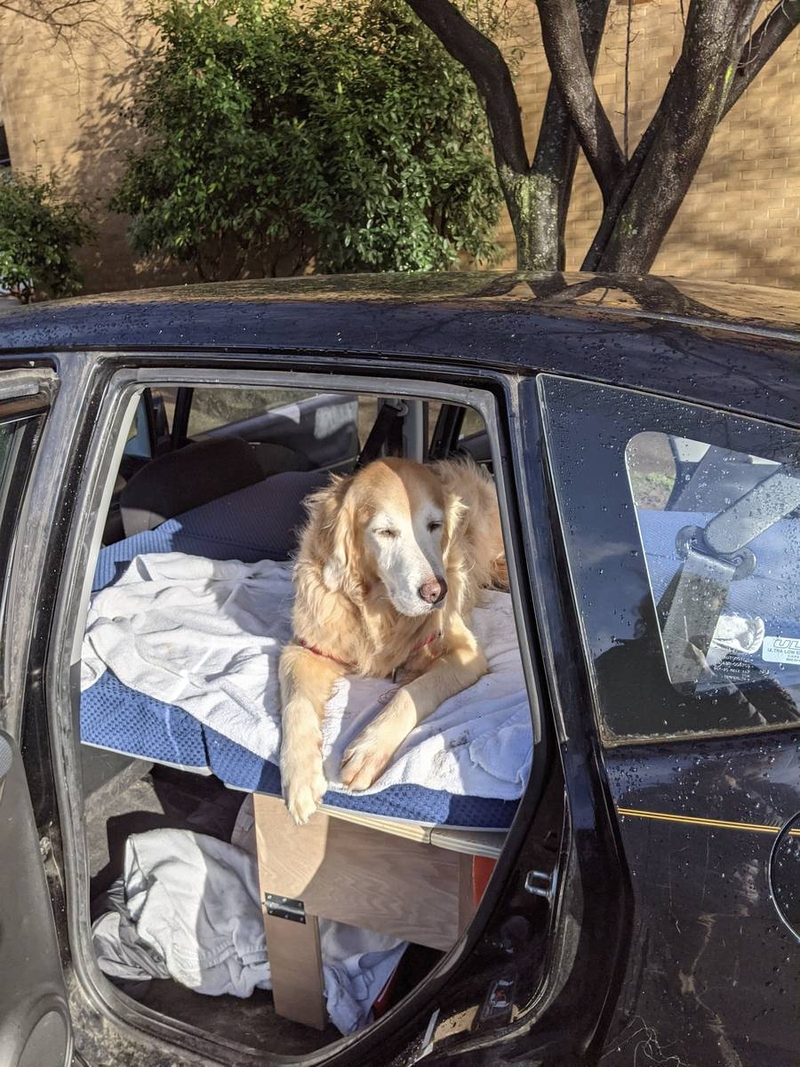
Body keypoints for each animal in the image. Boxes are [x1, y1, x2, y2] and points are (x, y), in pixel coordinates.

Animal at [279, 458, 507, 823]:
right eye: (385, 532)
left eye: (434, 525)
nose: (436, 592)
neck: (381, 609)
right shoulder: (304, 648)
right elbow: (296, 704)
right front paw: (300, 778)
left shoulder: (465, 652)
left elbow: (413, 692)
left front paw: (369, 749)